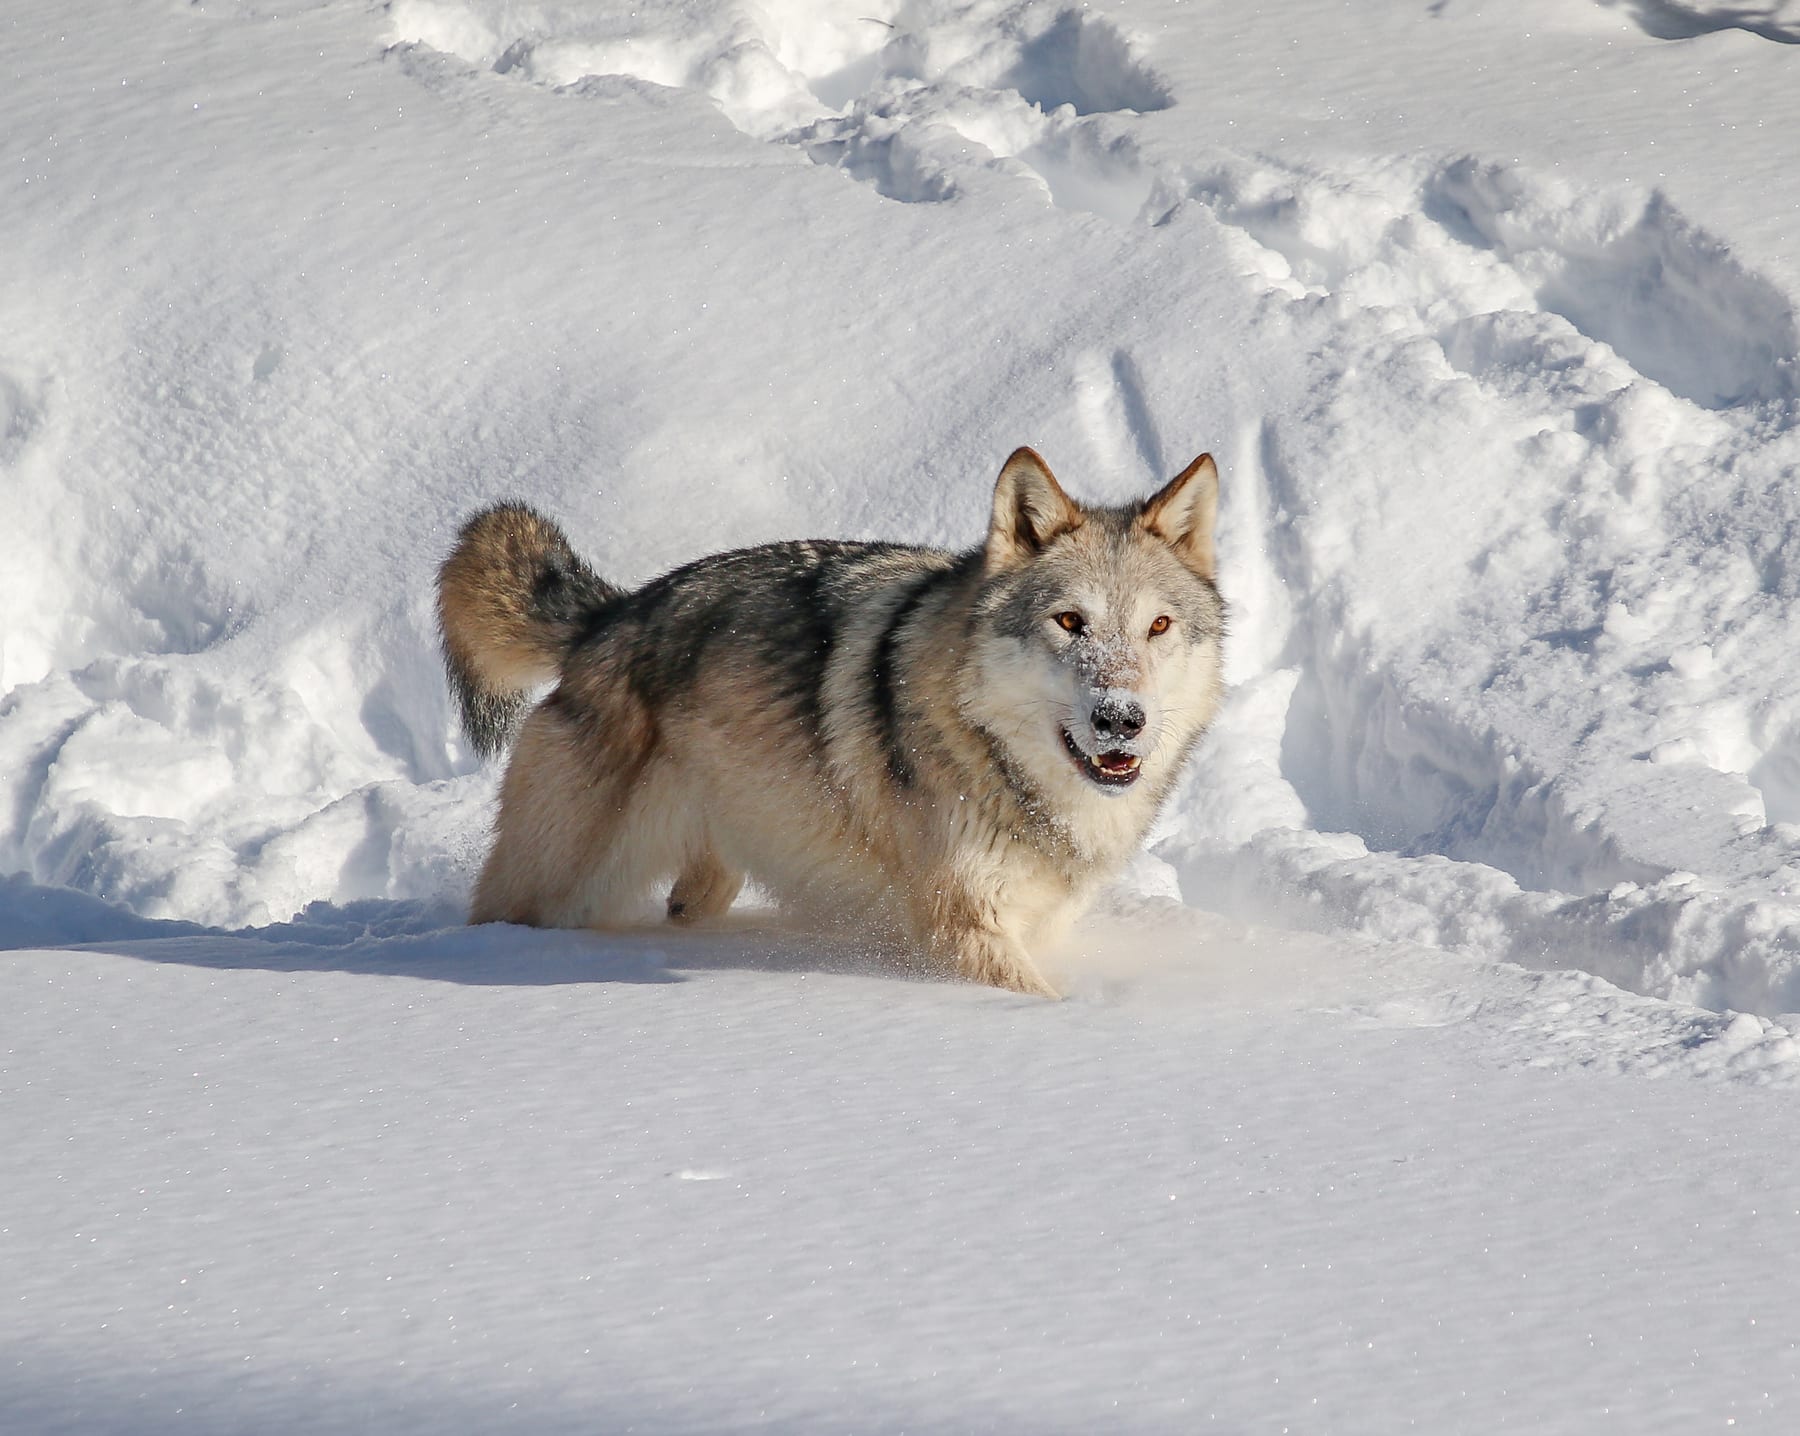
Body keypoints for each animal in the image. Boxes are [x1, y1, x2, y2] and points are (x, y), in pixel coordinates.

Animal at [438, 447, 1226, 997]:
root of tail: (607, 616)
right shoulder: (961, 930)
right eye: (1069, 622)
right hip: (560, 886)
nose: (1121, 719)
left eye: (1157, 627)